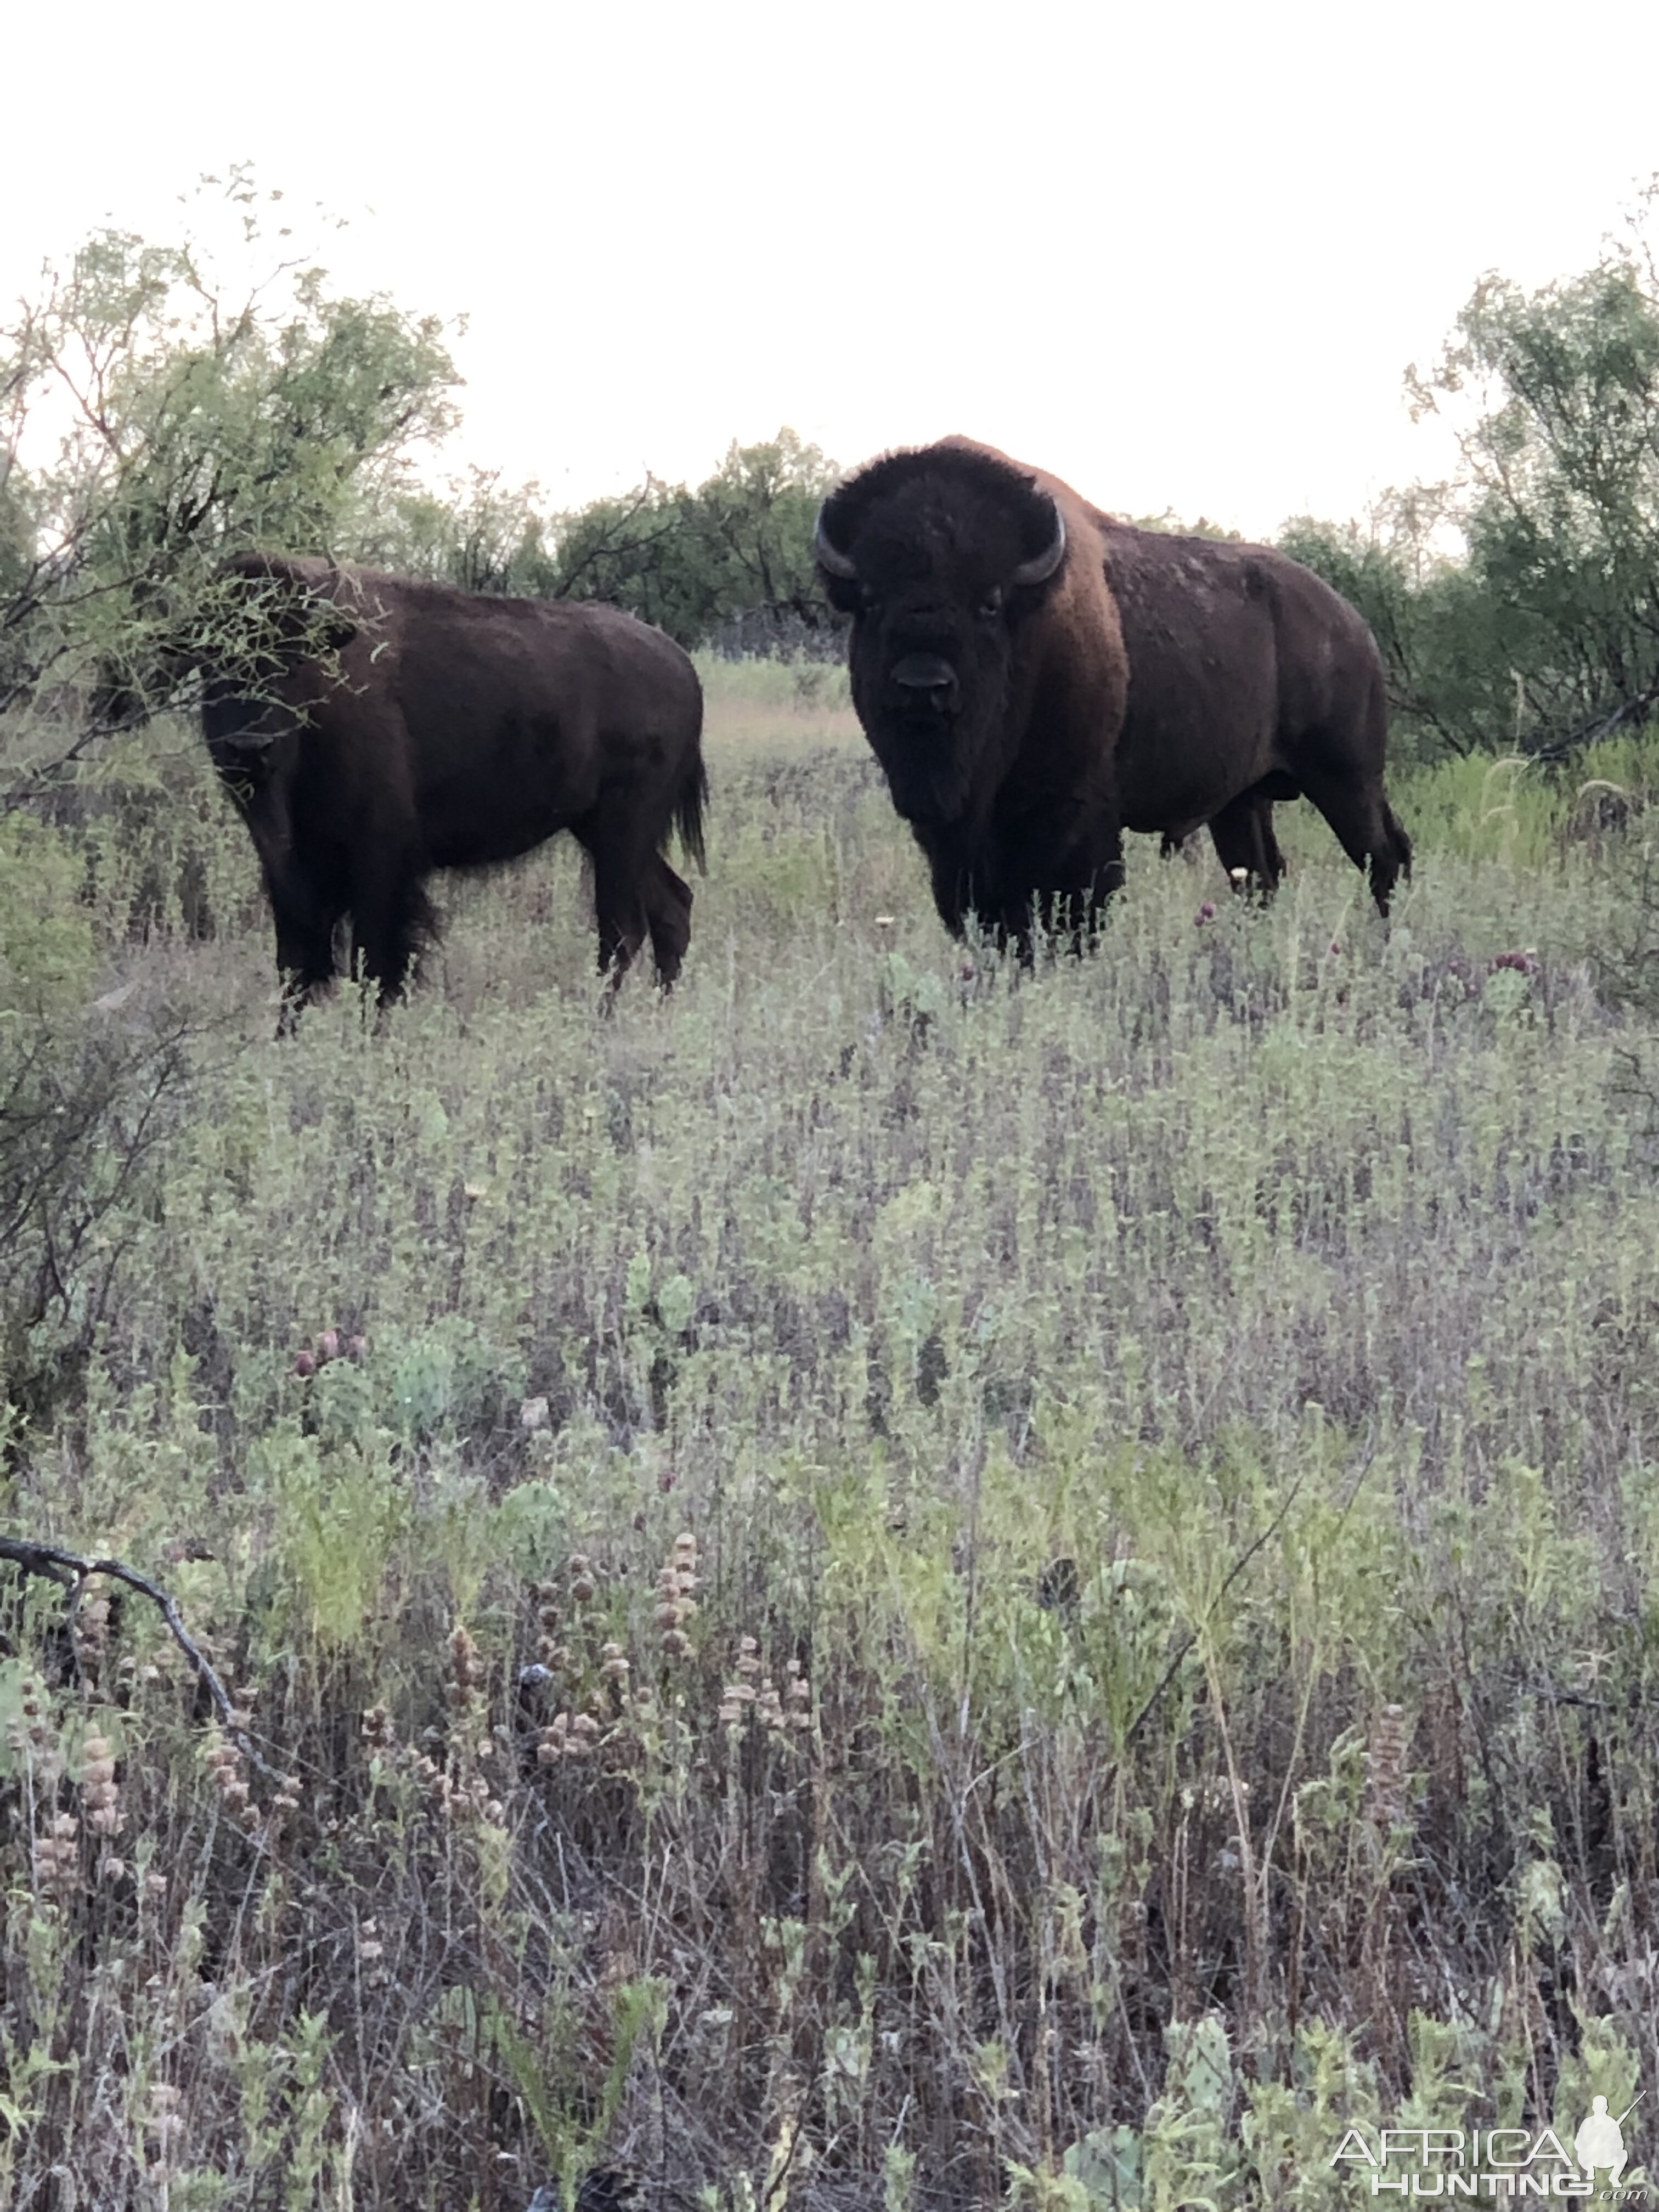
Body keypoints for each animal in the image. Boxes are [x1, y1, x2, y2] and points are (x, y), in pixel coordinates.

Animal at [201, 562, 708, 1026]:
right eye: (211, 657)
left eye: (292, 657)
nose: (249, 748)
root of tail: (682, 665)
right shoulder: (287, 870)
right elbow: (295, 964)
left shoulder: (380, 861)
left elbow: (374, 965)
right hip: (602, 830)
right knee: (670, 907)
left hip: (623, 827)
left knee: (622, 929)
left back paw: (597, 1025)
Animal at [814, 436, 1407, 946]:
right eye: (869, 600)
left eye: (989, 602)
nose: (923, 684)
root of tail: (1354, 624)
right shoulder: (956, 839)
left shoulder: (1074, 820)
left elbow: (1069, 913)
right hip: (1243, 800)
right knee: (1261, 874)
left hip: (1346, 778)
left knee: (1385, 855)